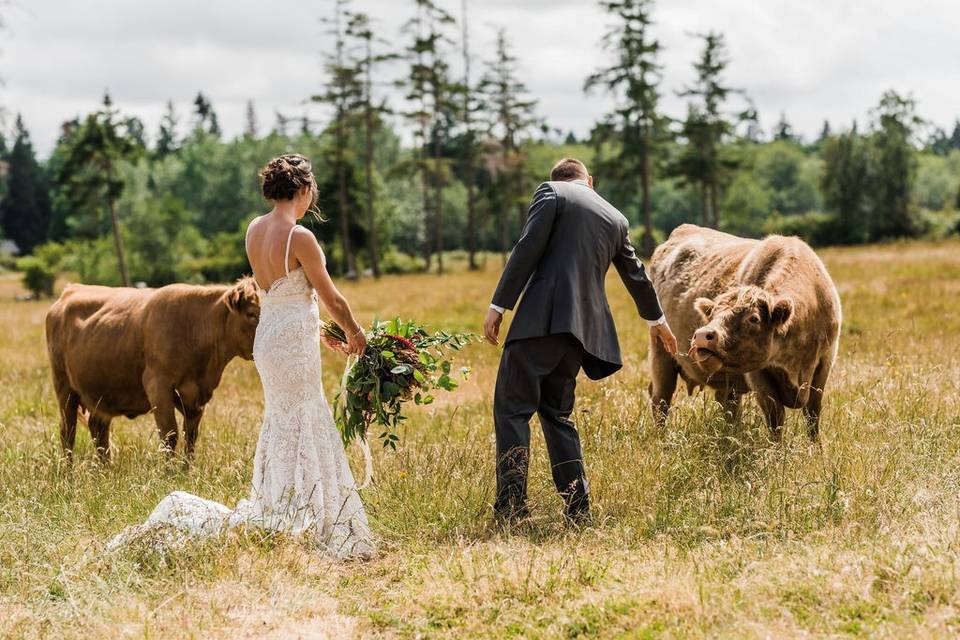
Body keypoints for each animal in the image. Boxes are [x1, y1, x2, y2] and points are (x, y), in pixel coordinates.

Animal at [46, 278, 258, 458]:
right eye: (251, 314)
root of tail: (70, 289)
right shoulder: (158, 386)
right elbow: (170, 435)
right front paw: (171, 475)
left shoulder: (195, 396)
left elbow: (190, 436)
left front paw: (186, 472)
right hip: (63, 387)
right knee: (68, 433)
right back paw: (69, 475)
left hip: (100, 393)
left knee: (99, 431)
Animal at [648, 225, 844, 440]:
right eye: (712, 313)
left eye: (754, 318)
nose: (701, 336)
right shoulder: (759, 376)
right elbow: (775, 417)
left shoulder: (824, 364)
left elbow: (813, 414)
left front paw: (816, 446)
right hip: (661, 352)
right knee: (661, 398)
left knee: (728, 404)